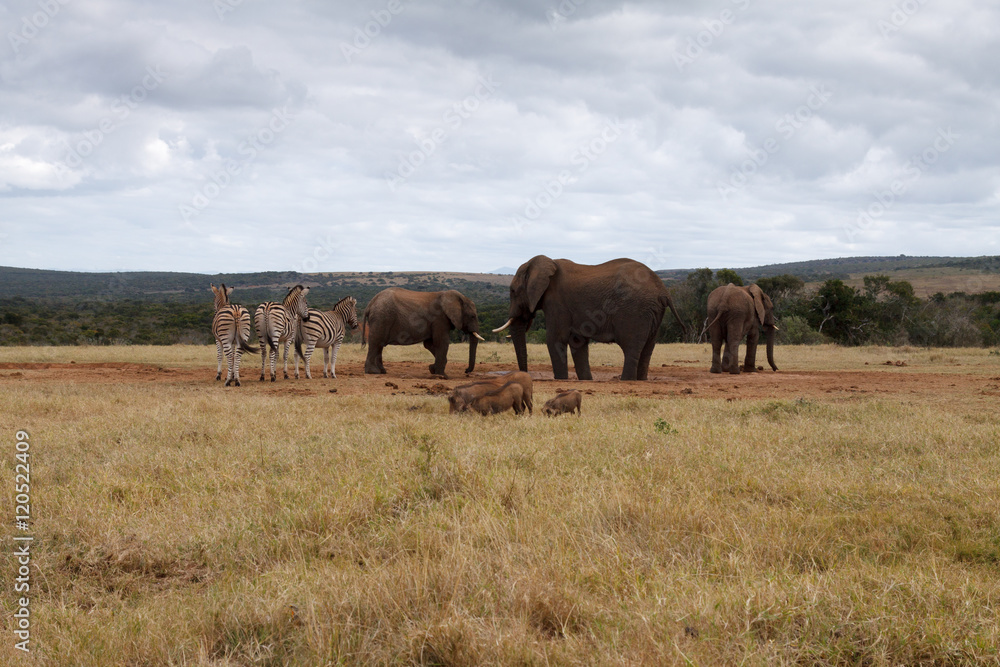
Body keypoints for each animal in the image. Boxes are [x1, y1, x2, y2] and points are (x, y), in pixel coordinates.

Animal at [493, 255, 688, 381]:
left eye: (513, 291)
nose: (525, 375)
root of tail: (663, 290)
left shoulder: (557, 302)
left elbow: (555, 339)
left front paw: (561, 380)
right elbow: (577, 342)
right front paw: (586, 380)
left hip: (635, 311)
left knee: (631, 346)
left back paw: (626, 380)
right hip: (652, 313)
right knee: (648, 347)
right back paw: (641, 380)